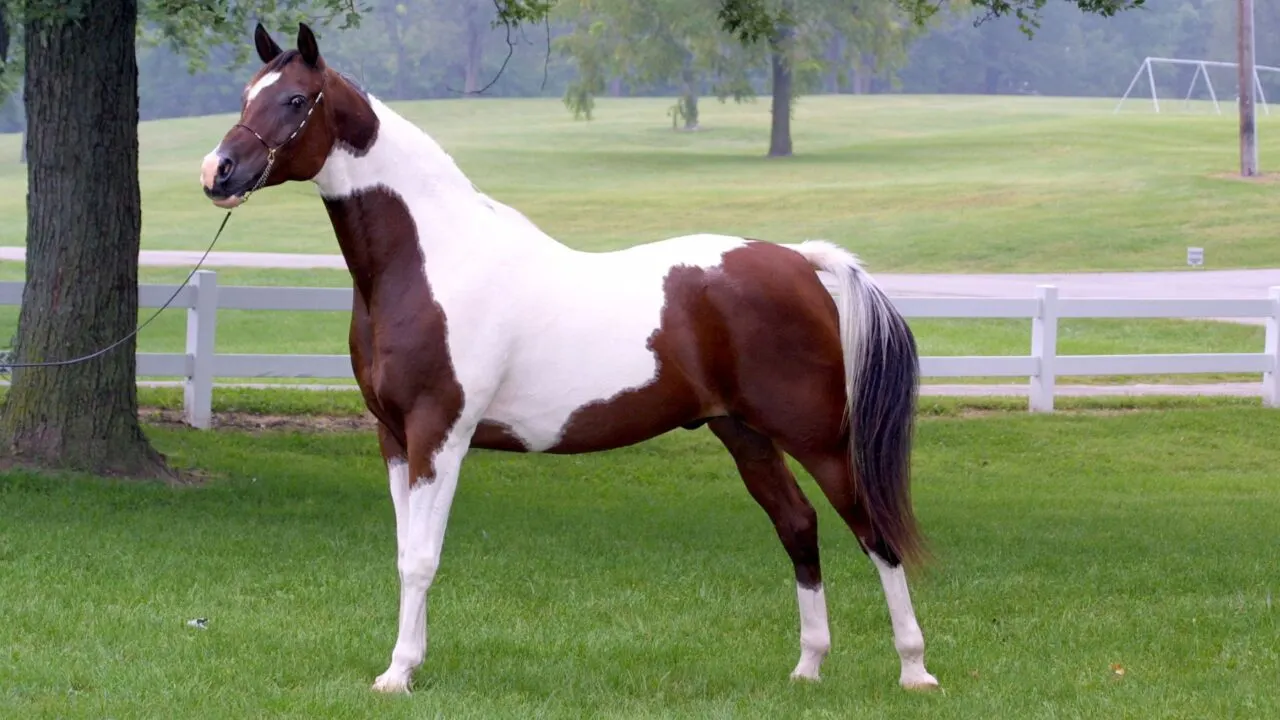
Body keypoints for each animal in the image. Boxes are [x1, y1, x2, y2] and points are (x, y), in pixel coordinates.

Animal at [199, 22, 939, 696]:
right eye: (245, 95)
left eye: (296, 100)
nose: (218, 172)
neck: (432, 261)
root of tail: (799, 262)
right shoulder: (393, 438)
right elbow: (405, 551)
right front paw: (407, 664)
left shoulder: (439, 434)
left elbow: (422, 559)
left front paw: (398, 673)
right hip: (745, 434)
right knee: (798, 525)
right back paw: (809, 667)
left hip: (818, 439)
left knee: (874, 533)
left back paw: (915, 670)